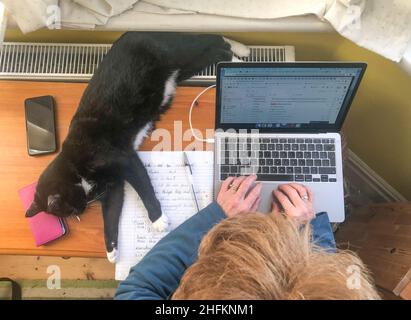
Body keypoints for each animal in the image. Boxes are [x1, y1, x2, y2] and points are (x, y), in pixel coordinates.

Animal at [26, 31, 251, 262]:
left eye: (69, 210)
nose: (81, 210)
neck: (73, 165)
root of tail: (134, 33)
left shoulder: (125, 160)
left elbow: (144, 188)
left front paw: (158, 219)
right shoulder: (114, 186)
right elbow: (110, 216)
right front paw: (111, 250)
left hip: (177, 52)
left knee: (211, 42)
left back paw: (238, 56)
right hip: (185, 65)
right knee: (213, 48)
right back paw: (237, 53)